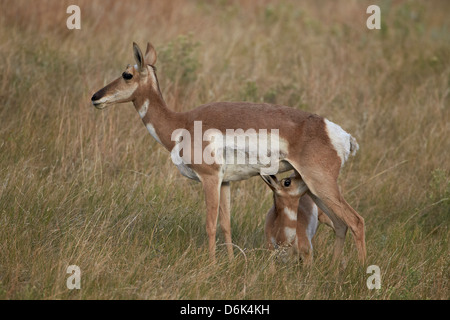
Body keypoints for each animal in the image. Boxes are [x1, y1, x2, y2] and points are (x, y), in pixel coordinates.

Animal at [90, 42, 366, 262]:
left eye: (127, 74)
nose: (95, 97)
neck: (181, 123)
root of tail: (336, 132)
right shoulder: (226, 183)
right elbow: (225, 224)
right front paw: (231, 262)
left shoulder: (210, 179)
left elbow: (210, 224)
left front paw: (211, 265)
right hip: (313, 189)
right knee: (341, 225)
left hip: (321, 184)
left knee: (356, 221)